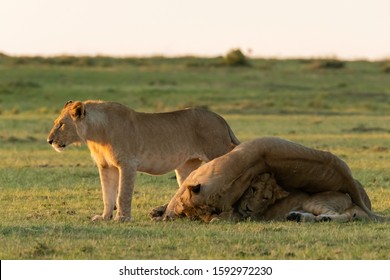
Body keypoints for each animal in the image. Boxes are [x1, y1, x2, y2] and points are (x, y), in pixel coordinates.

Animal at [47, 100, 239, 221]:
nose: (49, 140)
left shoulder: (128, 164)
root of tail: (221, 119)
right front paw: (104, 217)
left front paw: (122, 218)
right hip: (187, 166)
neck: (95, 135)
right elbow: (107, 195)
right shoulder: (106, 166)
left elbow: (122, 195)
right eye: (56, 122)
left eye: (61, 124)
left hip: (217, 152)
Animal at [152, 137, 384, 222]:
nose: (249, 209)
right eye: (253, 191)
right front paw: (158, 211)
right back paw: (296, 217)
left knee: (340, 216)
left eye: (265, 197)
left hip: (317, 201)